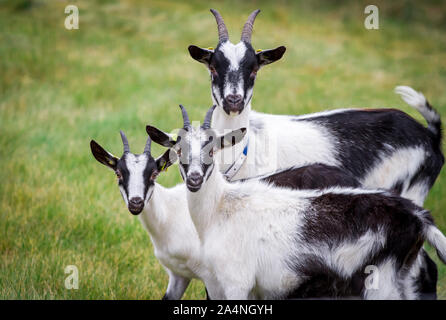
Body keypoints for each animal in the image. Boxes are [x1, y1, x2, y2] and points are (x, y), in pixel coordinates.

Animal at [153, 105, 446, 300]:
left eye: (212, 150)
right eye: (178, 151)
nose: (194, 179)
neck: (222, 206)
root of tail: (419, 217)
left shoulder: (237, 281)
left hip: (381, 281)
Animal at [181, 8, 442, 208]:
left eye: (254, 70)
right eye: (213, 68)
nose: (233, 100)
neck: (244, 148)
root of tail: (430, 134)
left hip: (410, 191)